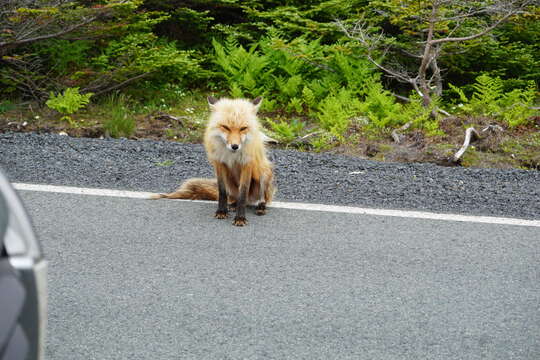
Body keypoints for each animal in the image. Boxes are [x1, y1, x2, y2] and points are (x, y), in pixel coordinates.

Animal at [153, 95, 276, 225]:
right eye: (226, 127)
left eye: (243, 128)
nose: (235, 146)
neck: (231, 156)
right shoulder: (219, 164)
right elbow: (222, 192)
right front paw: (222, 211)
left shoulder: (246, 164)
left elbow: (243, 193)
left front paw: (240, 218)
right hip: (230, 181)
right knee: (234, 196)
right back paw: (233, 204)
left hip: (263, 173)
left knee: (260, 198)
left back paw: (260, 207)